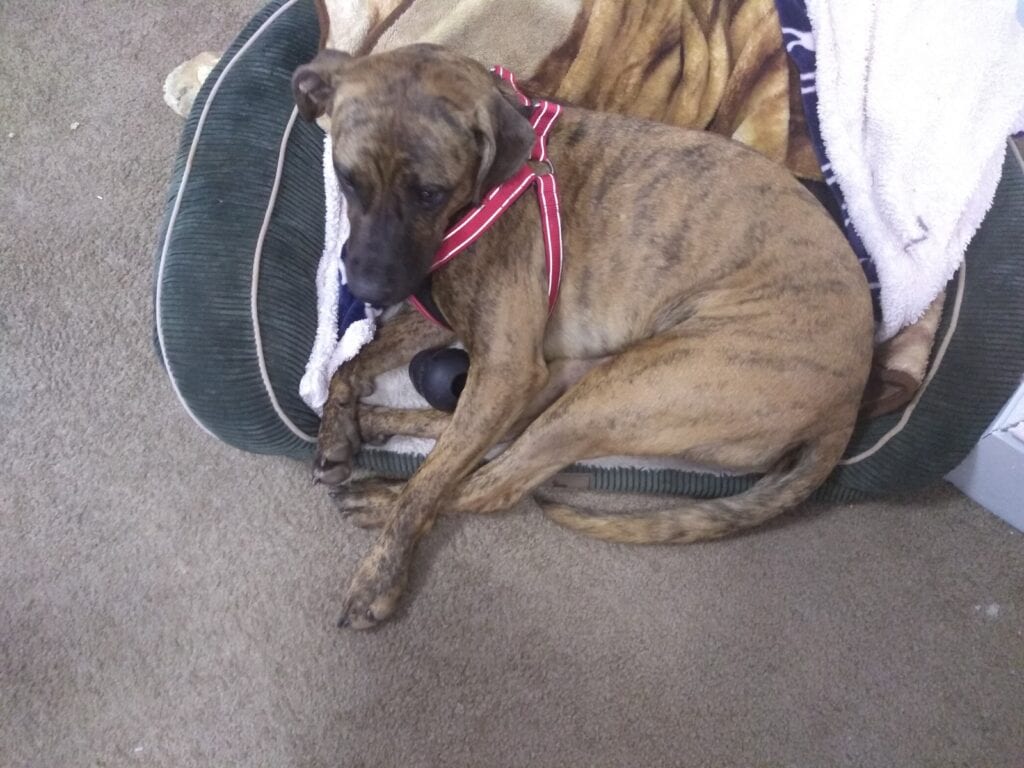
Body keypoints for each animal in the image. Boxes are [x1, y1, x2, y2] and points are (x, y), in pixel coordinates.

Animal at [290, 43, 872, 630]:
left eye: (430, 193)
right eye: (347, 179)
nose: (366, 288)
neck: (490, 186)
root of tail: (848, 403)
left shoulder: (504, 367)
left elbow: (429, 485)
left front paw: (380, 578)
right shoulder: (453, 324)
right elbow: (350, 363)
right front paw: (336, 429)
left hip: (622, 393)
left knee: (492, 482)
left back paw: (378, 500)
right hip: (579, 376)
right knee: (487, 437)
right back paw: (374, 424)